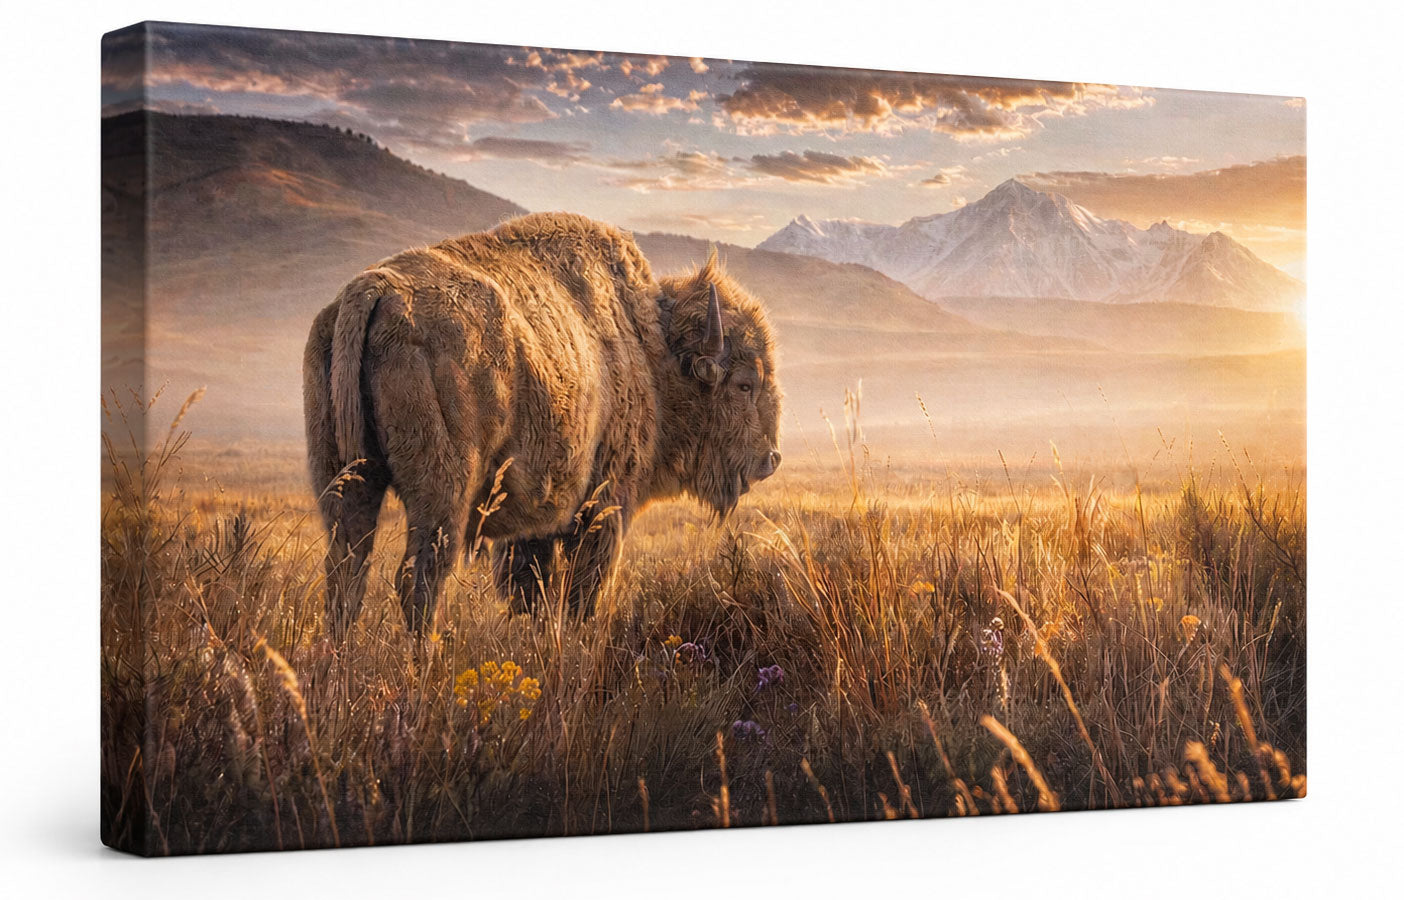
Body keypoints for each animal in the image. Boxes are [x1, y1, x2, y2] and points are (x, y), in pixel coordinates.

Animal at [303, 213, 781, 638]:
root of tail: (374, 288)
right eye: (745, 383)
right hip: (442, 495)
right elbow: (580, 591)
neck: (649, 349)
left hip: (346, 480)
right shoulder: (604, 504)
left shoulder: (532, 527)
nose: (771, 459)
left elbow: (530, 590)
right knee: (419, 579)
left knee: (346, 577)